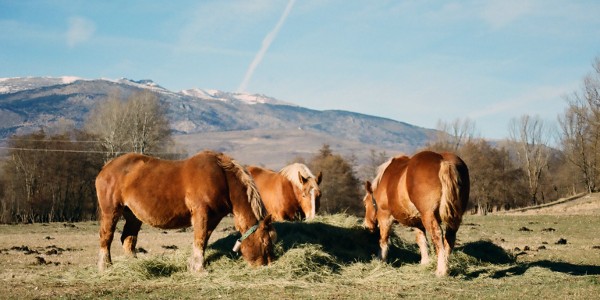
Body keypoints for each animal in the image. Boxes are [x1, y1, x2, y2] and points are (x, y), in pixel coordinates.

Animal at [96, 150, 276, 272]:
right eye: (266, 242)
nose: (268, 265)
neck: (221, 178)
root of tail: (106, 167)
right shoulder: (201, 213)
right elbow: (200, 239)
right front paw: (199, 269)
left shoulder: (212, 218)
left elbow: (203, 240)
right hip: (111, 211)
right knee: (106, 238)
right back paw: (105, 266)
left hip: (133, 216)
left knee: (128, 239)